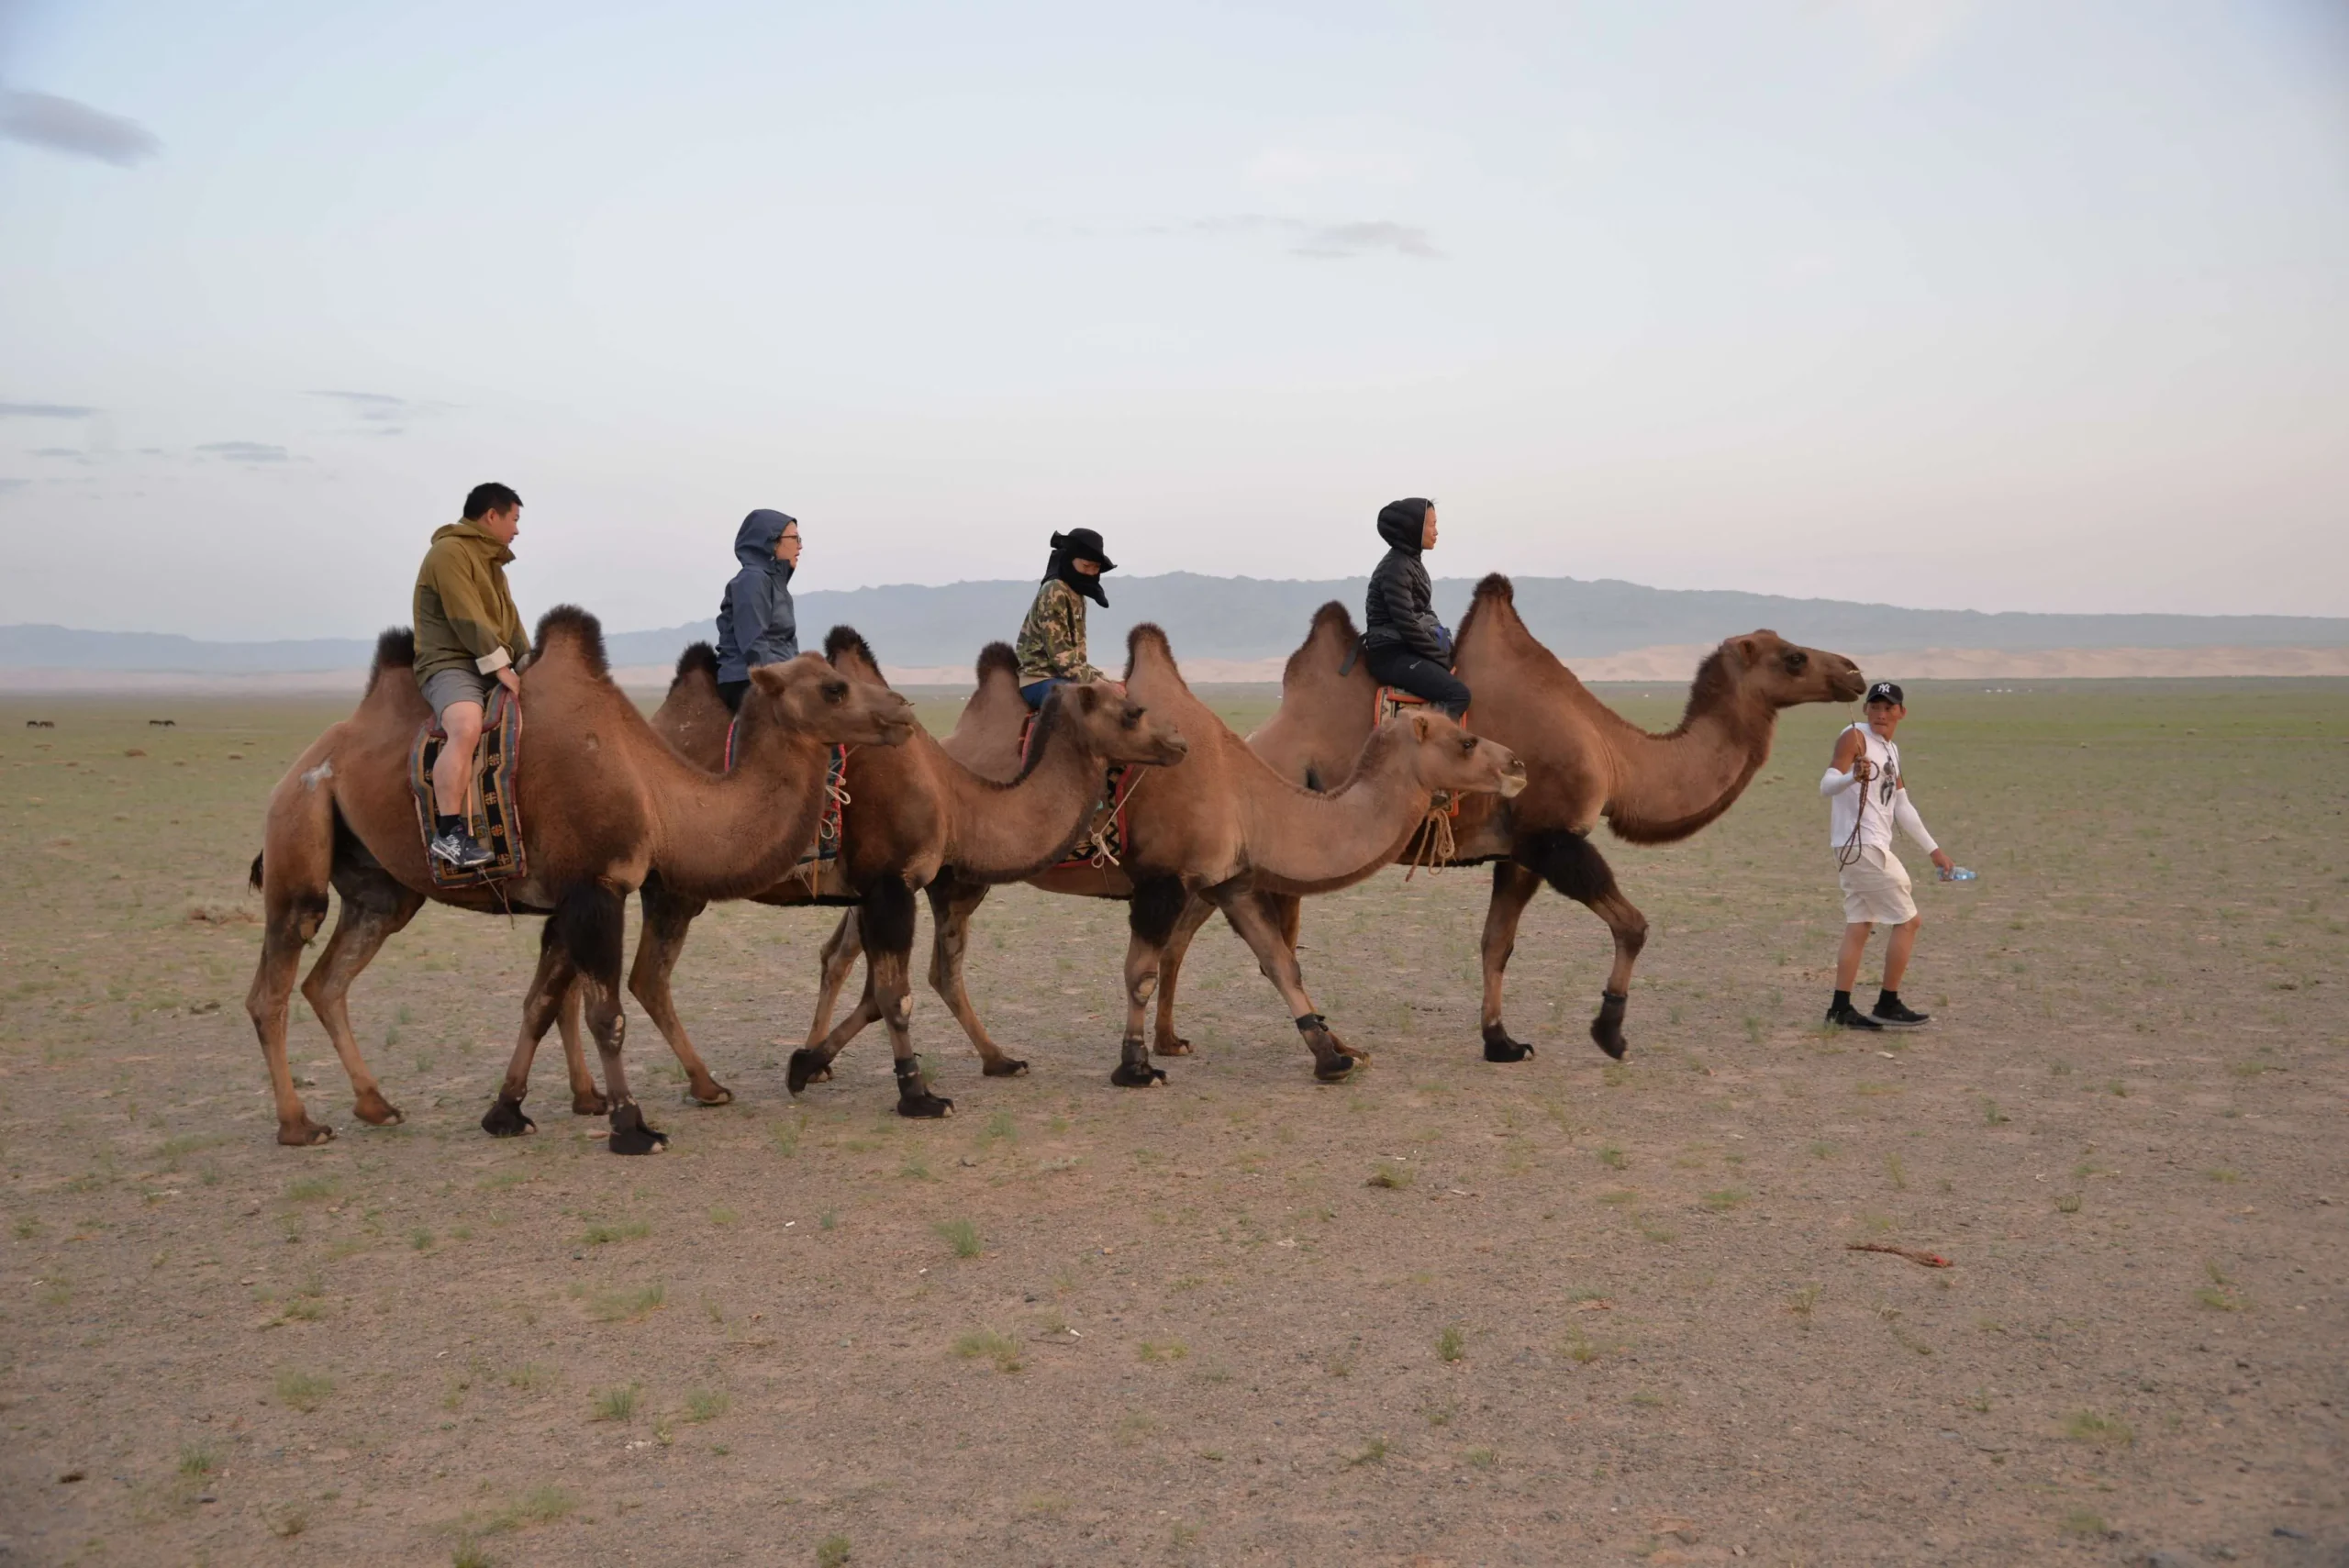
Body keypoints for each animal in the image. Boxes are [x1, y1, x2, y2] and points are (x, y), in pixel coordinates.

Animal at [243, 608, 915, 1149]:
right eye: (834, 687)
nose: (903, 711)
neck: (656, 793)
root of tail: (304, 765)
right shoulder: (598, 885)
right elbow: (604, 1014)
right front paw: (631, 1126)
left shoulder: (572, 892)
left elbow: (542, 1002)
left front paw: (508, 1111)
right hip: (299, 827)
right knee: (274, 981)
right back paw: (299, 1124)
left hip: (381, 890)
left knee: (328, 981)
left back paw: (376, 1104)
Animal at [615, 632, 1191, 1117]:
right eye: (1133, 711)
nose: (1180, 743)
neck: (953, 797)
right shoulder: (891, 886)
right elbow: (896, 995)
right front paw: (918, 1094)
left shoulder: (882, 891)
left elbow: (878, 994)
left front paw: (805, 1064)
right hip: (669, 887)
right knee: (648, 979)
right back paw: (704, 1087)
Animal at [810, 622, 1529, 1085]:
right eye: (1466, 741)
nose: (1518, 764)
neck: (1245, 788)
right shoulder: (1164, 878)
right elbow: (1141, 971)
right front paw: (1135, 1063)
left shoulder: (1229, 879)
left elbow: (1281, 963)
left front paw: (1333, 1055)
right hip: (935, 869)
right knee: (889, 961)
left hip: (939, 875)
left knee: (886, 960)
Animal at [1147, 580, 1866, 1064]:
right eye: (1793, 657)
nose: (1855, 671)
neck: (1614, 750)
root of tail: (1252, 742)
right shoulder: (1554, 834)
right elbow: (1631, 924)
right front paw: (1609, 1032)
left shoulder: (1518, 850)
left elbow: (1498, 943)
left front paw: (1501, 1040)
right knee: (1200, 932)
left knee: (1211, 936)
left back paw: (1180, 1038)